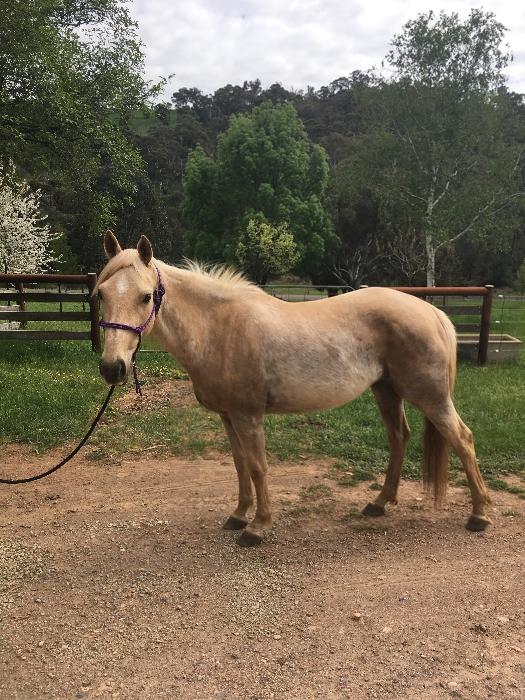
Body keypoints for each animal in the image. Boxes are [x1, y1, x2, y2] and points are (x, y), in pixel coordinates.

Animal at [96, 230, 491, 547]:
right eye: (100, 294)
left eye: (146, 296)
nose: (113, 367)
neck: (219, 329)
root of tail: (432, 312)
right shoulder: (228, 416)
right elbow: (239, 464)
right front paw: (238, 515)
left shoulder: (248, 415)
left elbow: (257, 466)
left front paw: (257, 527)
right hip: (387, 392)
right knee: (399, 438)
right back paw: (379, 504)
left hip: (431, 398)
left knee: (463, 439)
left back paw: (479, 515)